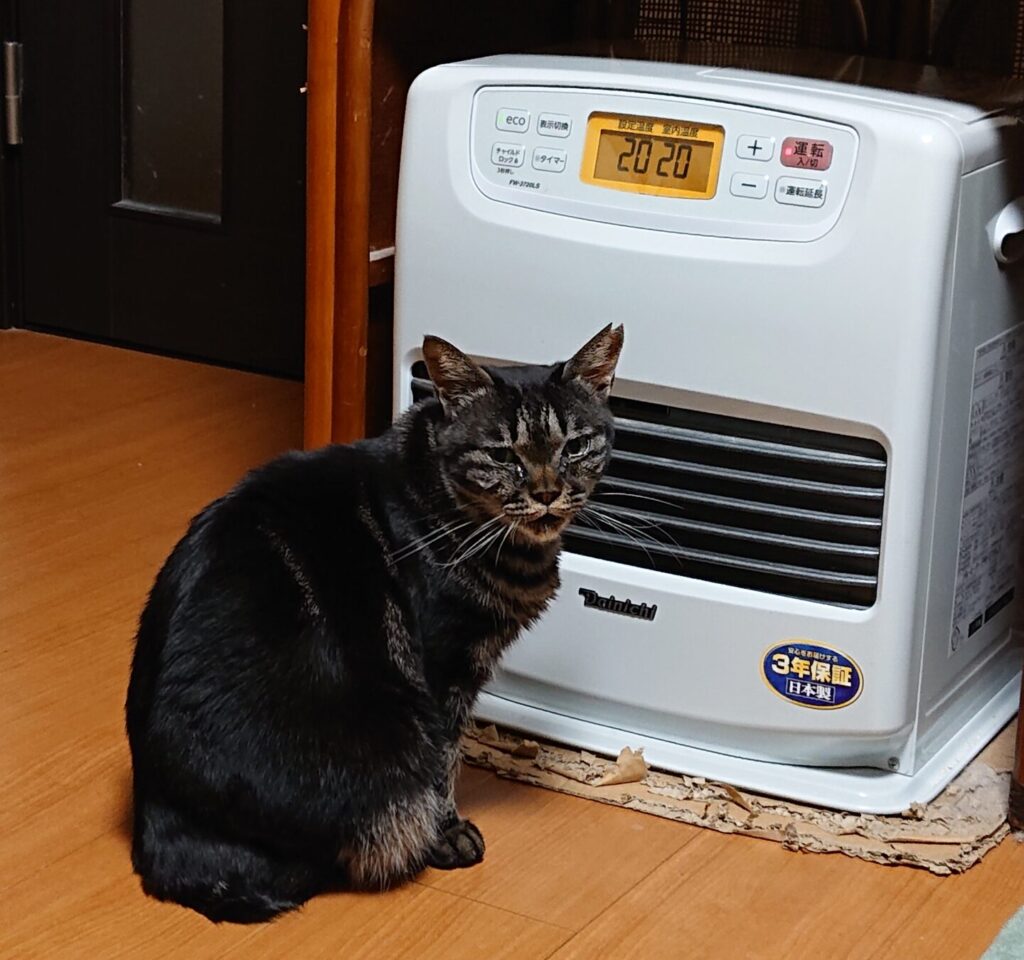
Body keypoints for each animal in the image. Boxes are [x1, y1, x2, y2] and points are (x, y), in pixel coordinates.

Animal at [125, 323, 622, 921]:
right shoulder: (444, 672)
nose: (547, 492)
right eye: (503, 454)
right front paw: (449, 834)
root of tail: (158, 835)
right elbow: (445, 761)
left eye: (575, 446)